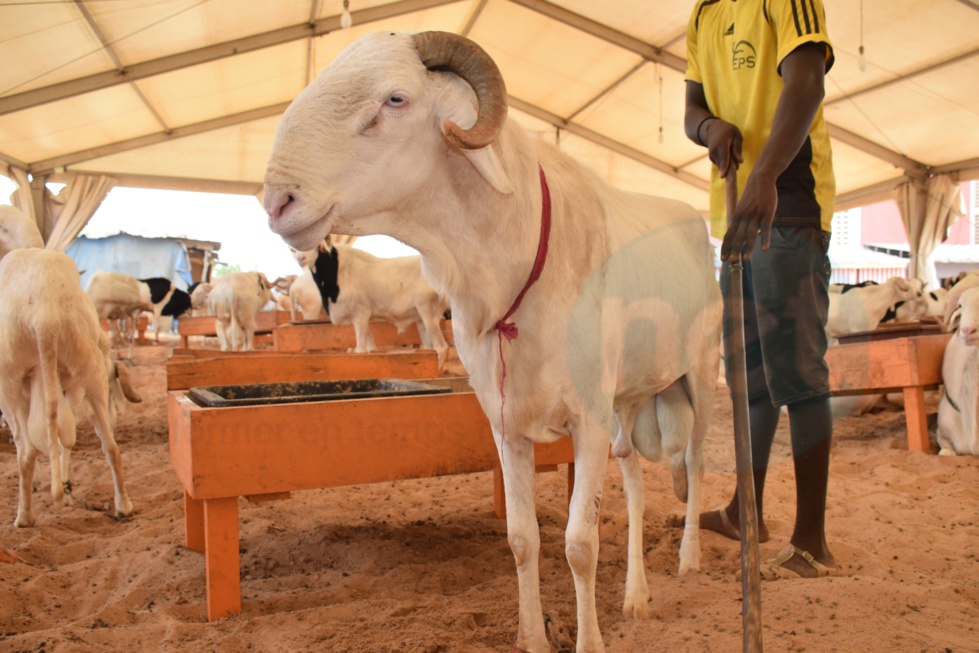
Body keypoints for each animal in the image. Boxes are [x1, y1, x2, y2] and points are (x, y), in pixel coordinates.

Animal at [0, 248, 138, 527]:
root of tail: (44, 315)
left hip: (9, 379)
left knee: (27, 451)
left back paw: (25, 517)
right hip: (84, 365)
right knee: (109, 446)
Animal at [294, 241, 451, 367]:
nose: (300, 259)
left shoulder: (360, 315)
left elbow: (361, 351)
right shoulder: (363, 318)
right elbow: (371, 350)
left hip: (428, 311)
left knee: (441, 348)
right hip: (420, 318)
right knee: (429, 348)